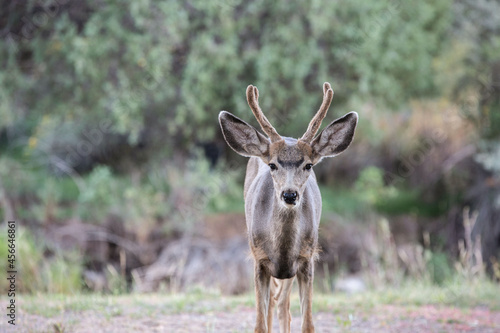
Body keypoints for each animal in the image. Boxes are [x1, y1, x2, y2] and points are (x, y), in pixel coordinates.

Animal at [218, 81, 356, 332]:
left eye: (308, 165)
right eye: (273, 165)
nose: (290, 194)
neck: (281, 248)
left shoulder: (306, 258)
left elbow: (307, 324)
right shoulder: (259, 259)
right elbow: (260, 325)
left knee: (283, 306)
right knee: (273, 305)